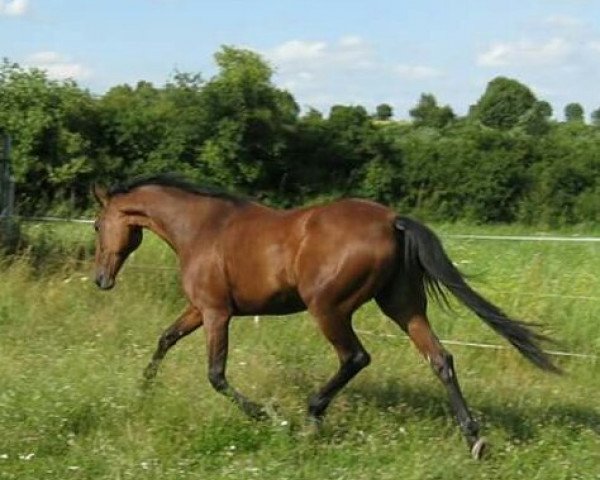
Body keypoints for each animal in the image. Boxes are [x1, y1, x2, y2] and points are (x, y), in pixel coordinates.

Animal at [91, 175, 560, 458]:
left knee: (356, 357)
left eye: (96, 225)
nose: (100, 279)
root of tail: (393, 220)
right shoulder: (198, 309)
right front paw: (142, 391)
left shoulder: (216, 312)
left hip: (328, 308)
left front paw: (267, 416)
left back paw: (310, 418)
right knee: (440, 359)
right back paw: (474, 439)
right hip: (403, 306)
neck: (202, 229)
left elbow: (216, 374)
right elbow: (165, 339)